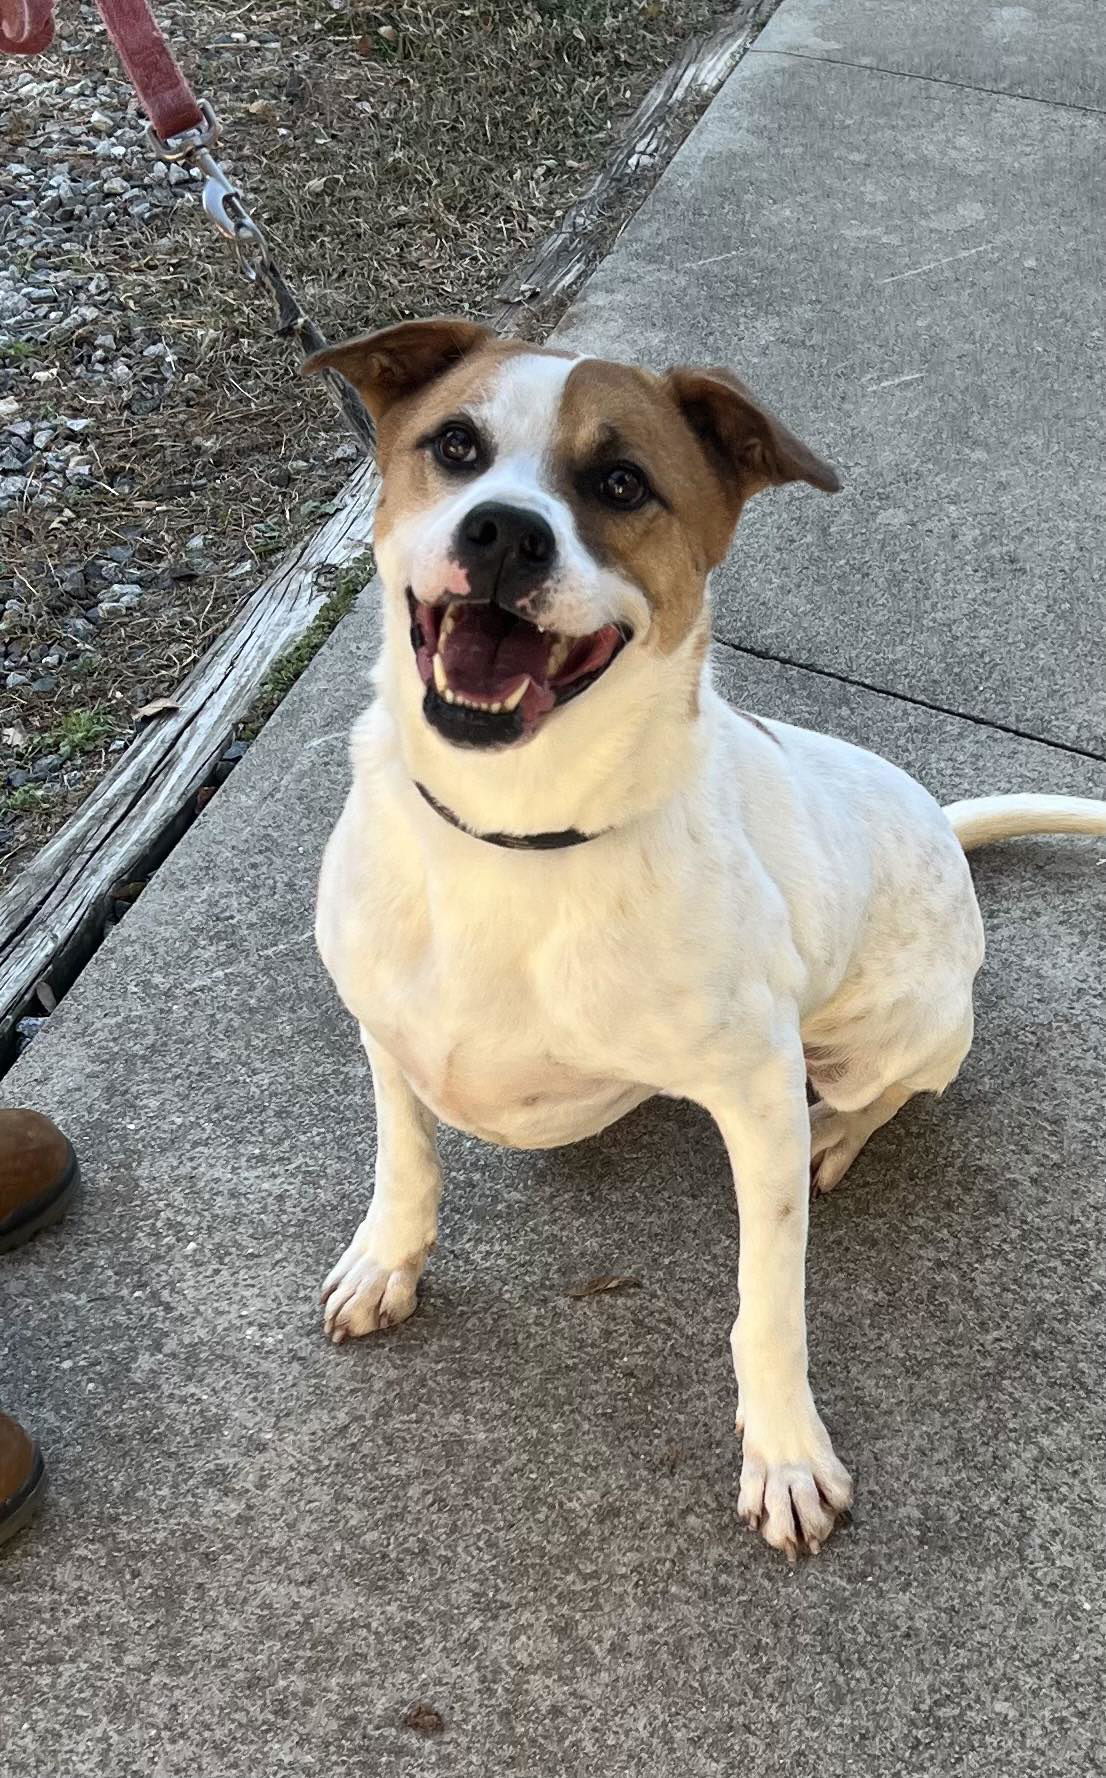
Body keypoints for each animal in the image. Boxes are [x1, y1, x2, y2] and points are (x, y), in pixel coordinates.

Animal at [304, 320, 1106, 1557]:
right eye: (455, 444)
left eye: (621, 482)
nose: (502, 531)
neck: (513, 832)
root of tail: (937, 816)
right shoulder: (381, 1024)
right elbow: (406, 1154)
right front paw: (387, 1256)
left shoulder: (754, 1091)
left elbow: (766, 1301)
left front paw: (784, 1452)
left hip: (890, 1037)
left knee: (889, 1089)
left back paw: (841, 1134)